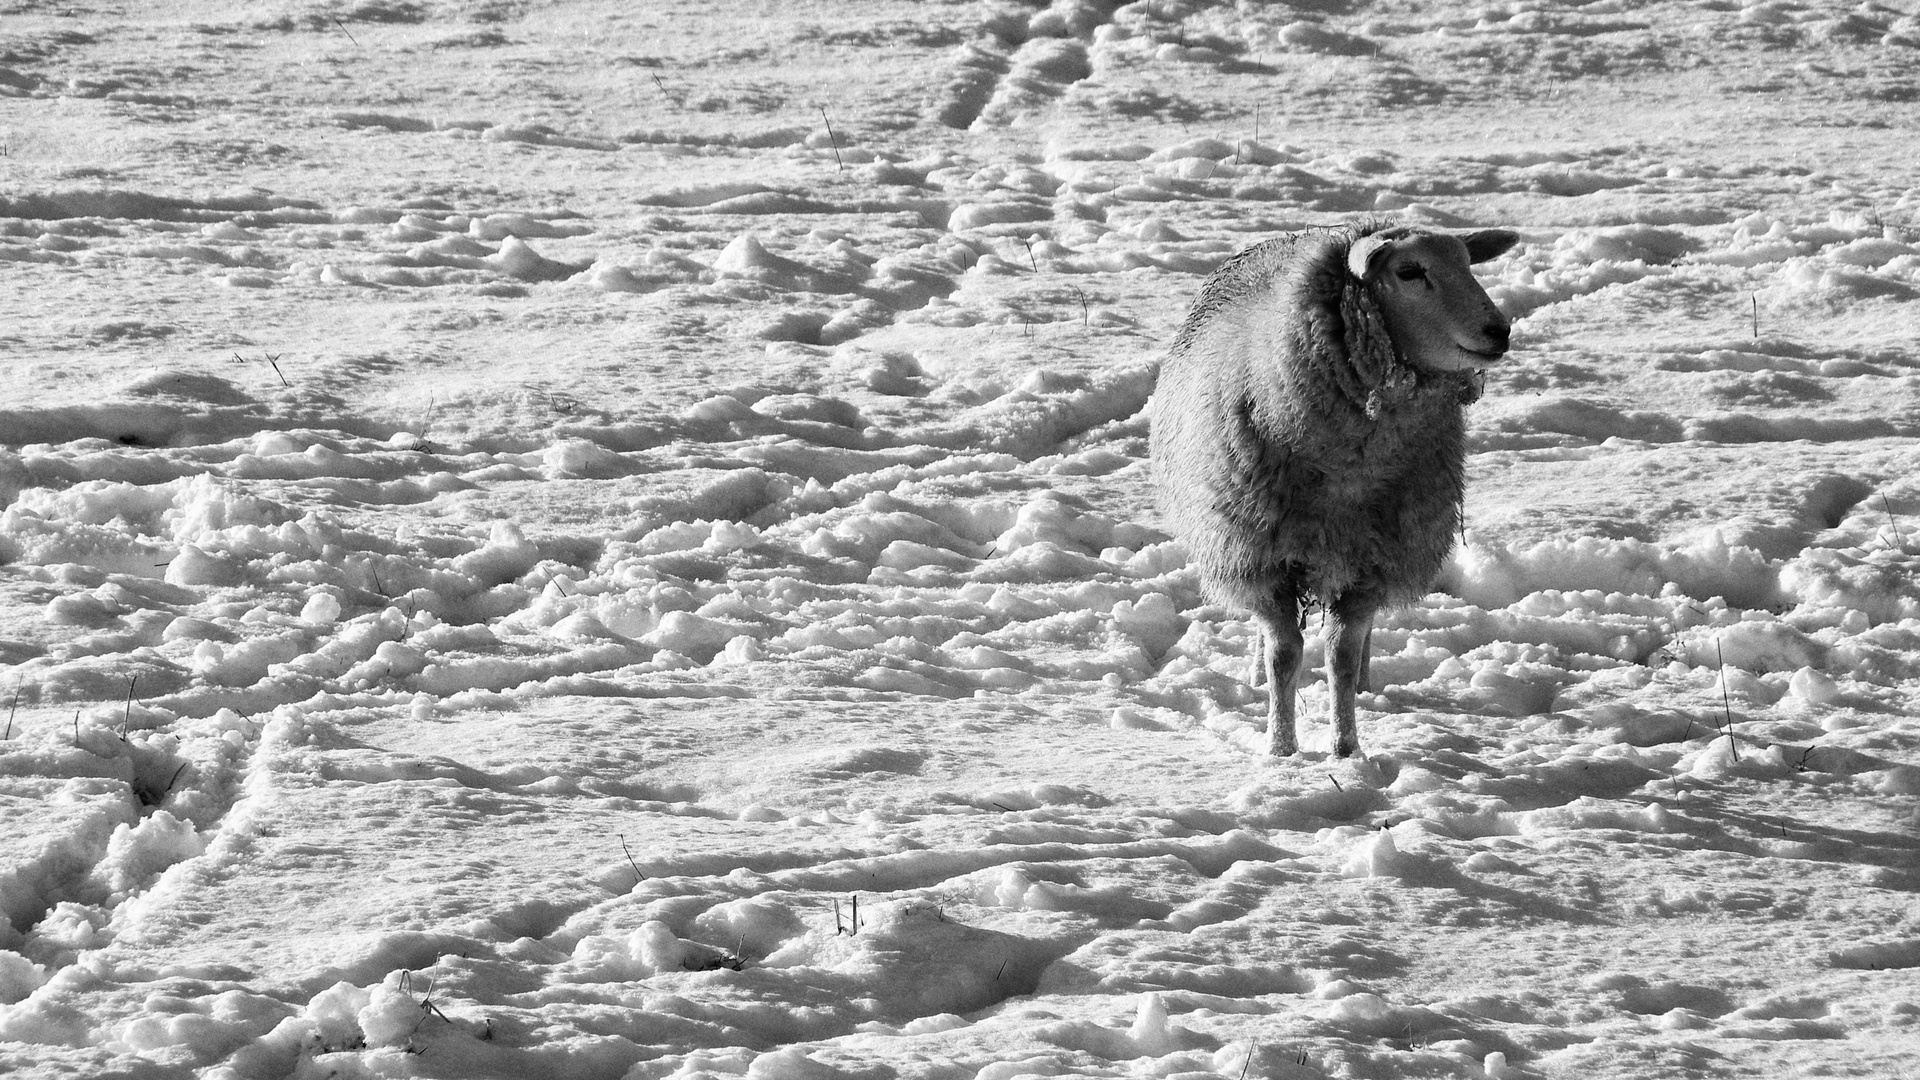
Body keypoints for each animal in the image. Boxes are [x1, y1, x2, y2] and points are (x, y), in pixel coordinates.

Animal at [1144, 221, 1520, 753]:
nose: (1498, 331)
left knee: (1357, 643)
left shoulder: (1372, 560)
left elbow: (1340, 654)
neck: (1345, 475)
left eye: (1469, 265)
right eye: (1409, 272)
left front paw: (1346, 749)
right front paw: (1280, 748)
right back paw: (1256, 680)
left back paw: (1364, 683)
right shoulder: (1262, 557)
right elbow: (1284, 655)